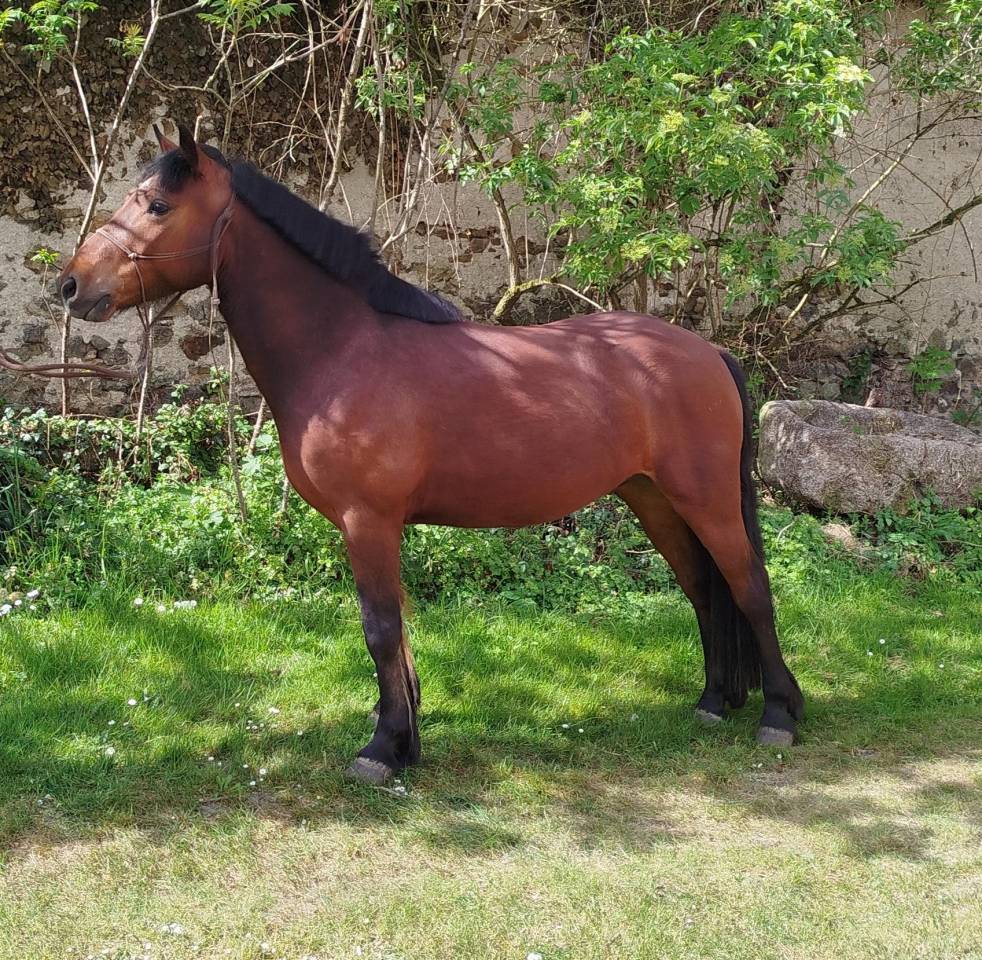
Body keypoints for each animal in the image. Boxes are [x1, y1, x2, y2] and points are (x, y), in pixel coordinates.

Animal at [60, 123, 804, 785]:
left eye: (157, 206)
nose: (71, 285)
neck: (341, 348)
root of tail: (707, 352)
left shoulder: (368, 521)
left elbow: (381, 630)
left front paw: (383, 750)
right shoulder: (375, 527)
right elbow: (398, 634)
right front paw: (403, 735)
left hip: (704, 498)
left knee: (749, 585)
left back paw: (781, 715)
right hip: (653, 497)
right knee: (704, 588)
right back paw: (714, 702)